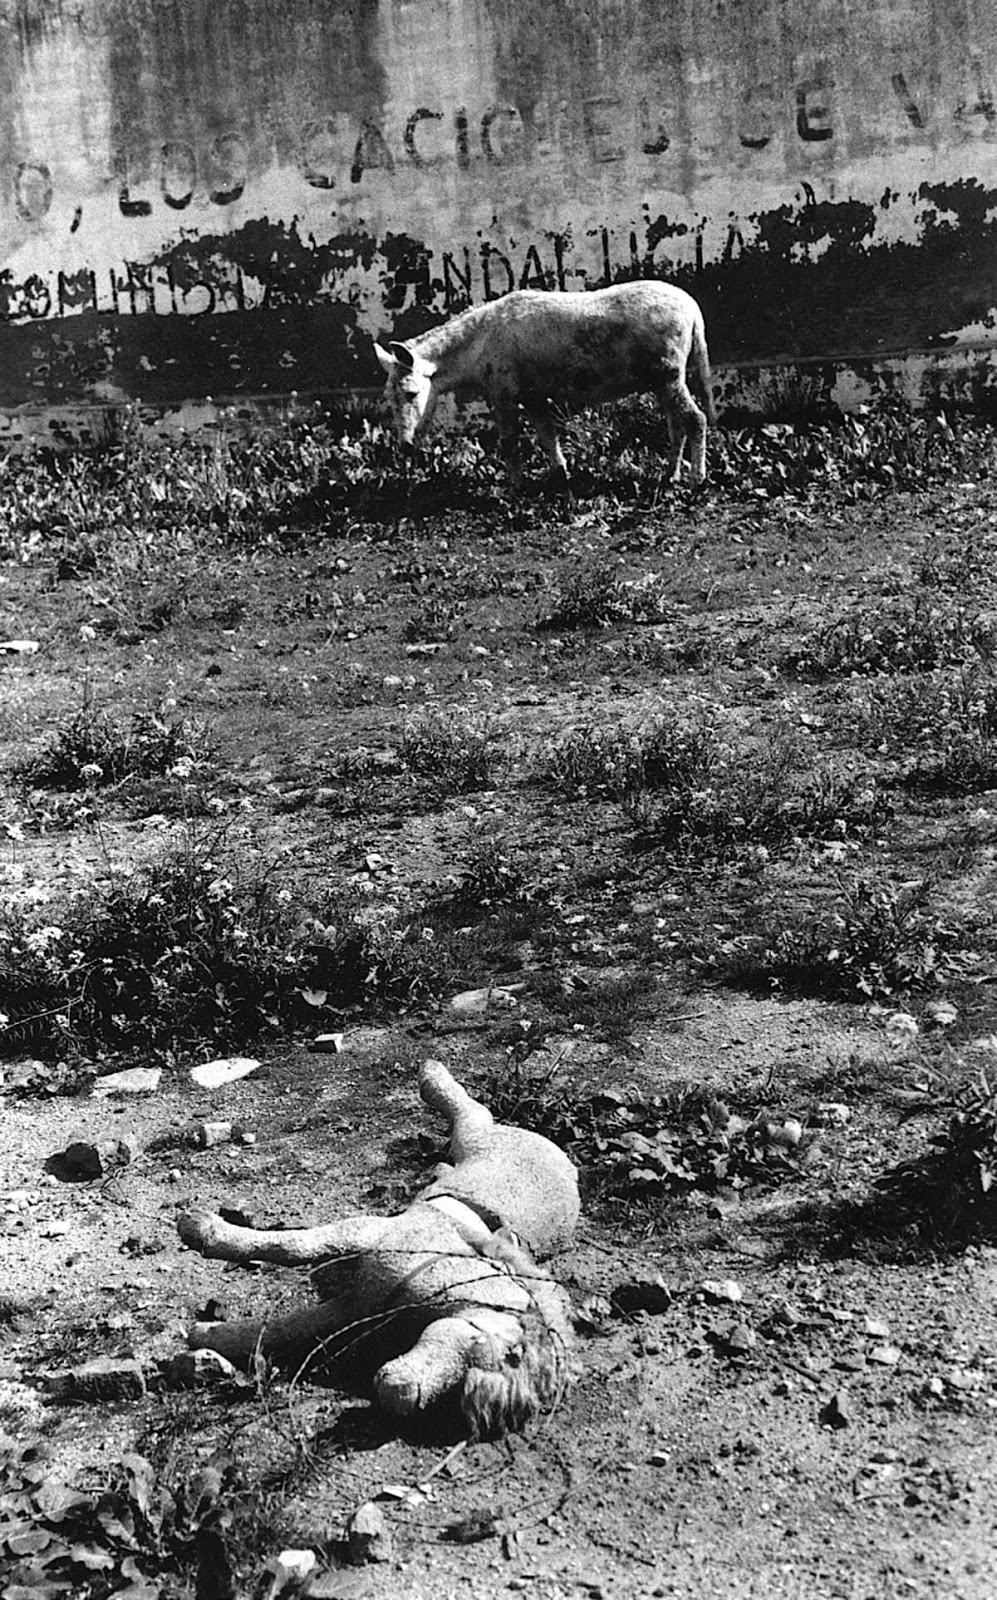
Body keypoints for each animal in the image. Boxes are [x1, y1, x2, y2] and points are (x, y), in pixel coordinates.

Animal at [374, 280, 715, 487]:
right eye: (388, 399)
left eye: (411, 394)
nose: (405, 447)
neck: (479, 342)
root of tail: (693, 307)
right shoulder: (533, 395)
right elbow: (548, 436)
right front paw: (559, 475)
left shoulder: (503, 394)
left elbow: (509, 443)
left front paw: (515, 487)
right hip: (662, 380)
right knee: (676, 425)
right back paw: (670, 475)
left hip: (668, 376)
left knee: (695, 419)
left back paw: (696, 479)